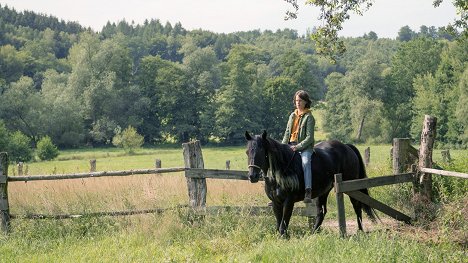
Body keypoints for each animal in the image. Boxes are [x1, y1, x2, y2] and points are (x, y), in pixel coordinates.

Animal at [245, 131, 376, 236]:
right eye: (247, 152)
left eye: (261, 151)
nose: (252, 176)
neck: (280, 172)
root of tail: (347, 147)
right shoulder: (275, 202)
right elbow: (279, 222)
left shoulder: (289, 201)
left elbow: (284, 221)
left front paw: (284, 236)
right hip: (323, 192)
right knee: (321, 212)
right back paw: (313, 233)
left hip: (351, 187)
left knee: (357, 206)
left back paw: (360, 230)